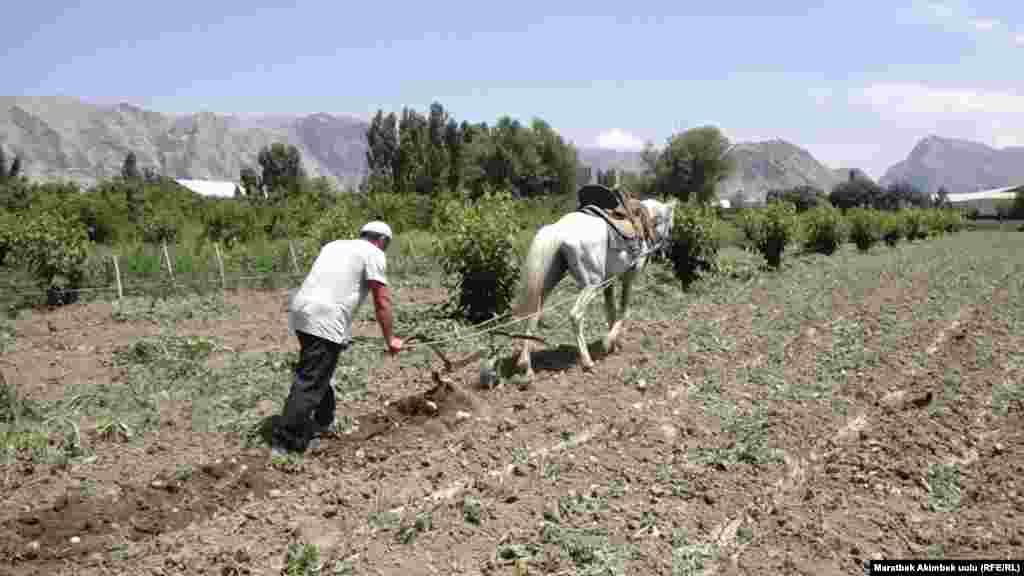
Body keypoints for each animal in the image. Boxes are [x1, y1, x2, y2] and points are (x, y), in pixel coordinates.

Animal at [516, 196, 675, 377]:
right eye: (671, 226)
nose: (667, 246)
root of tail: (559, 230)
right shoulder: (628, 277)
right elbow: (623, 310)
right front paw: (608, 342)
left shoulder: (609, 282)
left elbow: (611, 311)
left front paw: (614, 345)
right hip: (591, 285)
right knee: (575, 316)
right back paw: (587, 362)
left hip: (548, 284)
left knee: (534, 315)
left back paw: (526, 366)